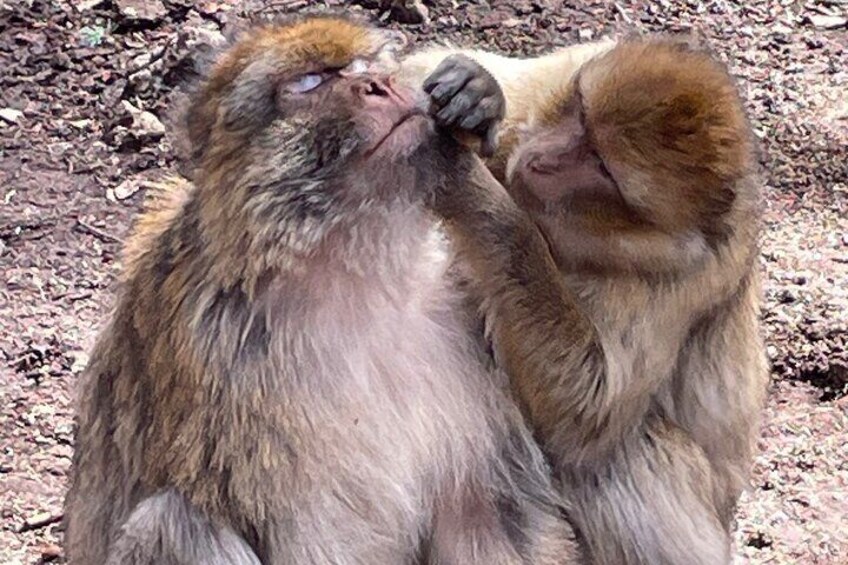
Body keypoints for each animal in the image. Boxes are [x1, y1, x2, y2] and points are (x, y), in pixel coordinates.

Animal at [63, 16, 583, 565]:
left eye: (363, 66)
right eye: (309, 82)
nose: (378, 85)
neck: (362, 269)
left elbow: (488, 517)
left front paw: (475, 91)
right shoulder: (223, 362)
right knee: (174, 525)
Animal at [419, 39, 769, 564]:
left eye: (603, 168)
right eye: (581, 115)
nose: (542, 160)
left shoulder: (686, 278)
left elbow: (585, 416)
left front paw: (487, 205)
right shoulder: (571, 69)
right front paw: (480, 91)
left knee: (617, 456)